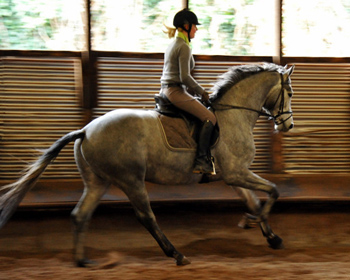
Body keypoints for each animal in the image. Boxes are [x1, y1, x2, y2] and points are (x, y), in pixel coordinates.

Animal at [0, 63, 296, 266]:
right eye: (290, 92)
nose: (287, 125)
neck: (233, 114)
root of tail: (85, 130)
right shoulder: (237, 173)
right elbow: (273, 191)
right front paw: (255, 224)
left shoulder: (233, 175)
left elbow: (254, 201)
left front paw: (271, 236)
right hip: (131, 180)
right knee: (146, 216)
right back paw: (177, 255)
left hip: (98, 182)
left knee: (80, 215)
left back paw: (82, 261)